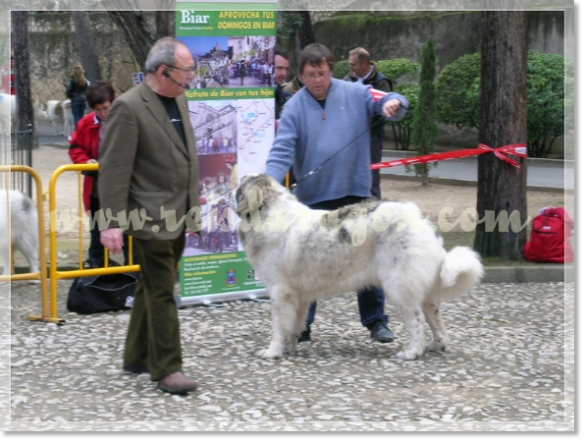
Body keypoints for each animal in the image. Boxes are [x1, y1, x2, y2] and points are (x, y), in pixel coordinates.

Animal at [233, 174, 484, 360]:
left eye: (240, 187)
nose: (233, 183)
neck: (266, 212)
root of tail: (421, 218)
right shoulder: (299, 297)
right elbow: (294, 324)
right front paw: (289, 348)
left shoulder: (280, 293)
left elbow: (278, 326)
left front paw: (272, 352)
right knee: (434, 316)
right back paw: (437, 345)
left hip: (399, 284)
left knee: (416, 318)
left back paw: (412, 352)